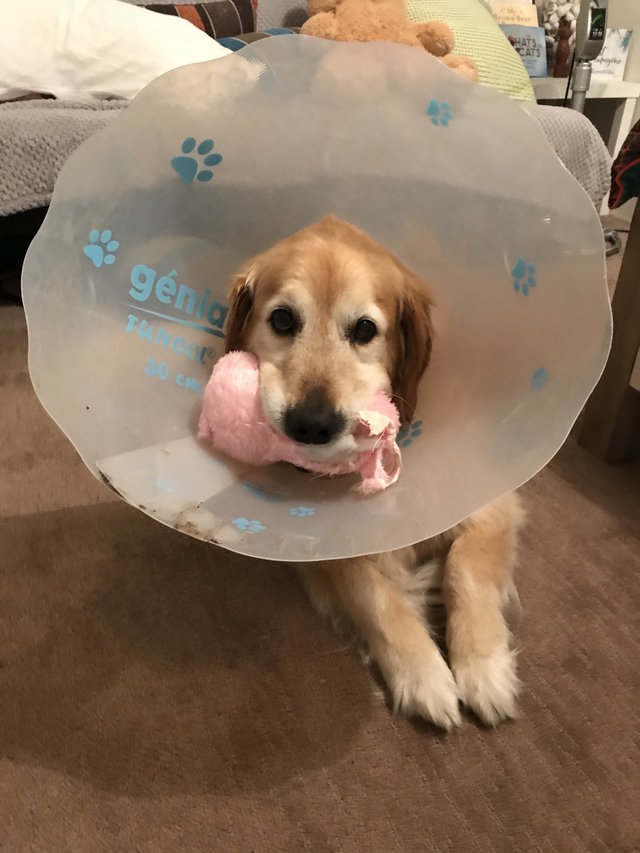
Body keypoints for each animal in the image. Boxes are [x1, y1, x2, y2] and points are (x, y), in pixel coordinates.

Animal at [224, 215, 524, 729]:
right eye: (282, 320)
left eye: (365, 329)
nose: (312, 425)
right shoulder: (328, 549)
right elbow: (374, 595)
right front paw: (424, 674)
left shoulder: (492, 500)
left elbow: (465, 568)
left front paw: (484, 668)